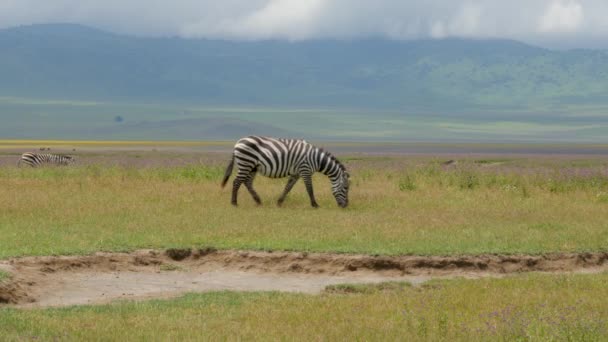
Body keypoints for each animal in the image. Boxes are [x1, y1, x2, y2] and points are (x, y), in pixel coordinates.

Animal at [221, 136, 350, 208]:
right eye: (346, 188)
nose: (345, 206)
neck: (316, 159)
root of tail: (237, 142)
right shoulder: (305, 170)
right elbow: (310, 189)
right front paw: (315, 205)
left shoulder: (296, 173)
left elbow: (288, 187)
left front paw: (279, 202)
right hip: (246, 163)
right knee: (236, 182)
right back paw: (234, 203)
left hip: (252, 167)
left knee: (247, 182)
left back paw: (258, 201)